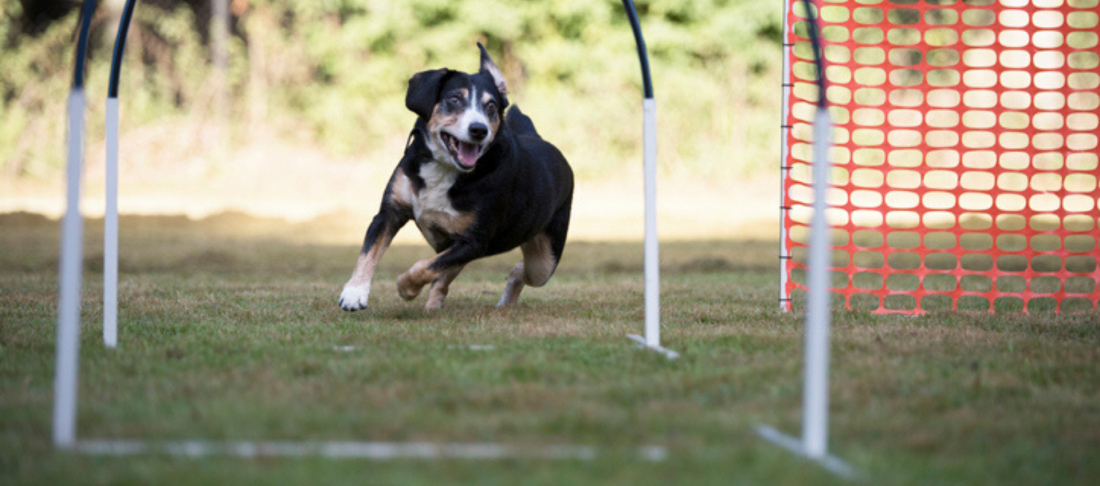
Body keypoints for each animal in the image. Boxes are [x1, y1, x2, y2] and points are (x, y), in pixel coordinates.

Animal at [338, 45, 572, 312]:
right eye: (454, 99)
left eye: (491, 106)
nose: (479, 129)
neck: (445, 168)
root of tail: (536, 136)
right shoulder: (390, 213)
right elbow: (370, 252)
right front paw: (355, 291)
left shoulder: (474, 241)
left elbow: (426, 267)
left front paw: (406, 287)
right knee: (447, 278)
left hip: (544, 259)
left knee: (518, 272)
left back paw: (505, 300)